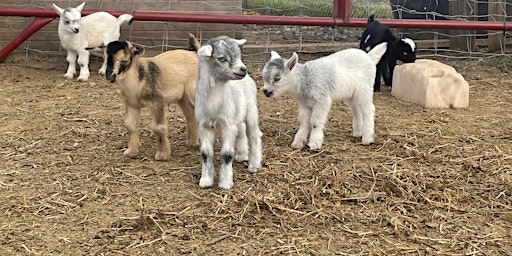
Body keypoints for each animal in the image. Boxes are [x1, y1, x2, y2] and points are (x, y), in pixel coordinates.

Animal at [194, 35, 262, 190]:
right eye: (222, 58)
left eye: (239, 55)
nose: (243, 69)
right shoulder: (204, 125)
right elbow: (206, 153)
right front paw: (206, 180)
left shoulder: (228, 125)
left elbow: (226, 154)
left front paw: (225, 182)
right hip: (237, 114)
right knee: (241, 130)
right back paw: (241, 154)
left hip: (252, 112)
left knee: (254, 135)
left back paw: (254, 165)